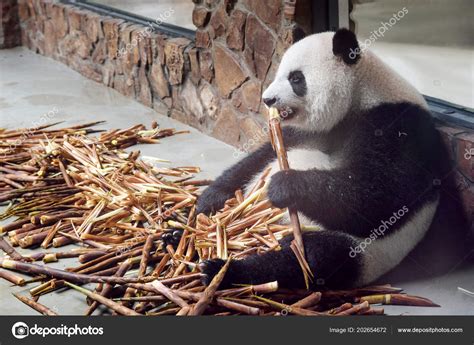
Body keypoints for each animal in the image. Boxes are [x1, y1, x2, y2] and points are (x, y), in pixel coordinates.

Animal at [180, 28, 442, 288]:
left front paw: (284, 186)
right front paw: (209, 199)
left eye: (296, 78)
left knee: (312, 256)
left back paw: (224, 271)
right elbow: (261, 156)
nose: (268, 99)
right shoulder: (307, 131)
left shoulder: (397, 126)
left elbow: (380, 197)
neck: (361, 92)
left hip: (363, 251)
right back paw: (181, 233)